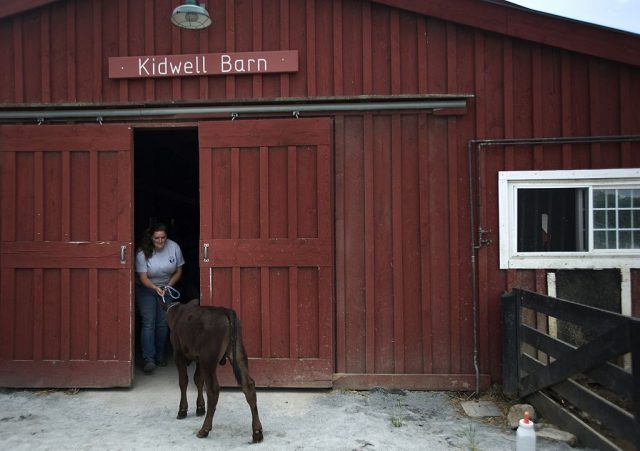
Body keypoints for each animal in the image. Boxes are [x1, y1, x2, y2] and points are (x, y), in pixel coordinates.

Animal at [166, 298, 264, 444]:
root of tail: (225, 310)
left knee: (213, 390)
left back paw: (204, 429)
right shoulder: (198, 358)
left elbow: (184, 381)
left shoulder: (178, 354)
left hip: (209, 359)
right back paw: (257, 432)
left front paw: (182, 410)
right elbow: (198, 380)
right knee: (249, 385)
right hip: (238, 353)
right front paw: (200, 408)